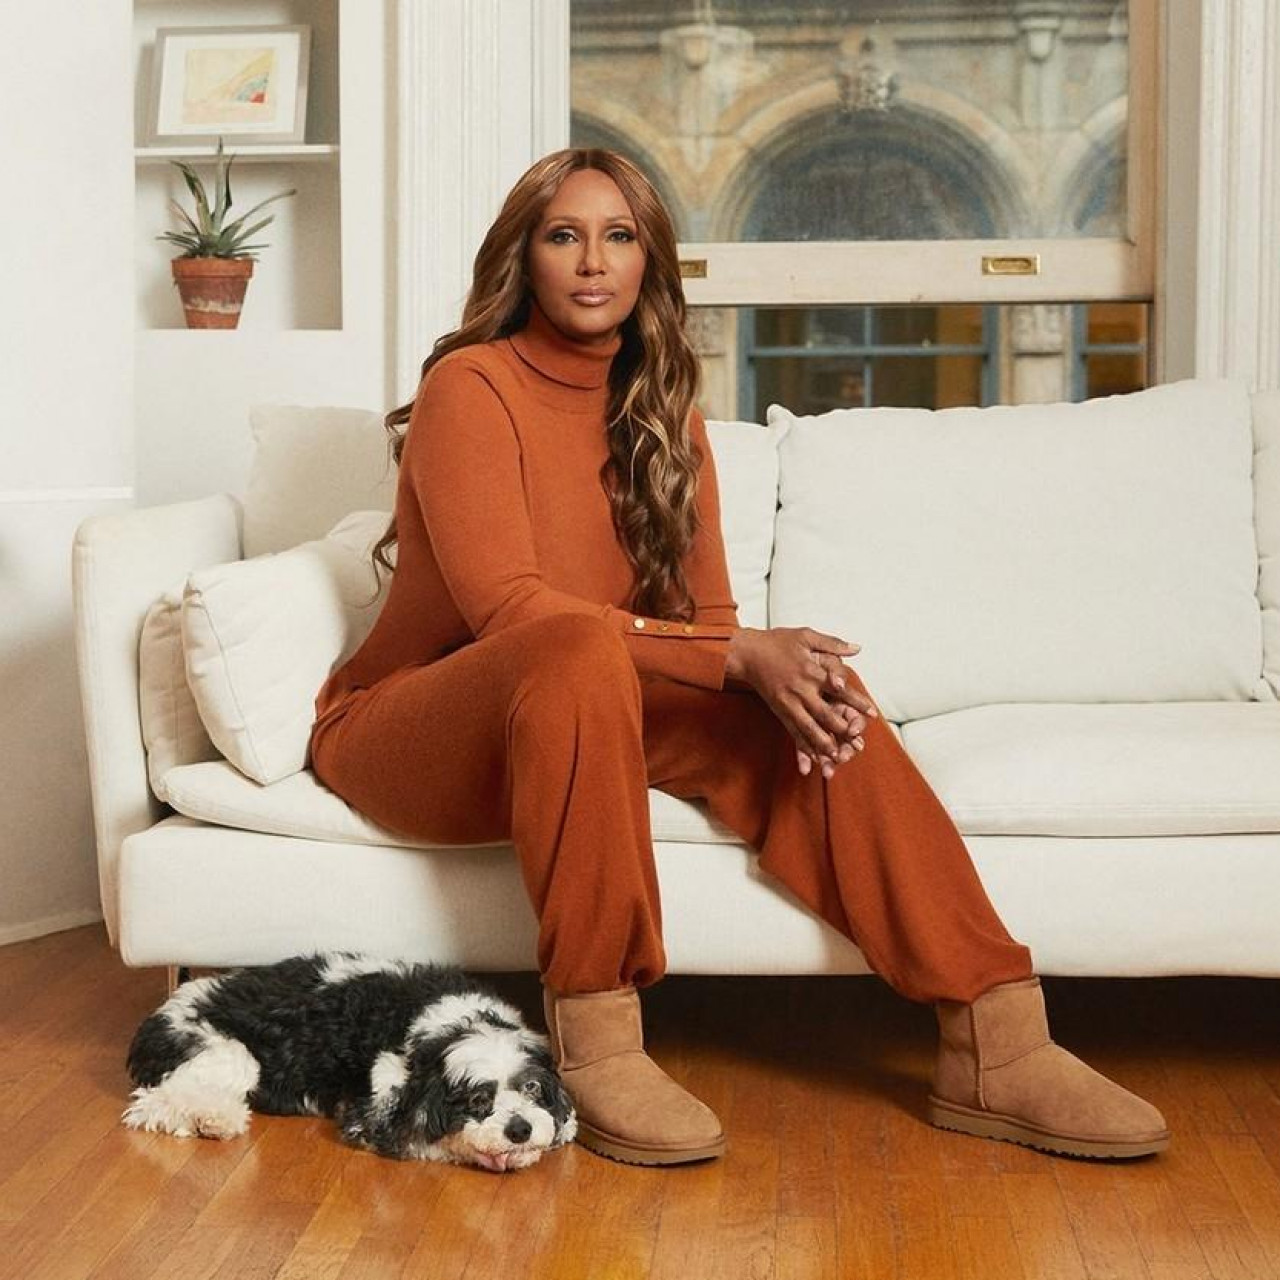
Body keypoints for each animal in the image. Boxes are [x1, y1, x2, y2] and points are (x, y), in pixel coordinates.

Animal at [123, 953, 577, 1172]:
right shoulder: (374, 1108)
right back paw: (214, 1118)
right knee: (156, 1102)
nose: (520, 1129)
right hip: (227, 1051)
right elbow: (422, 1140)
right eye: (476, 1100)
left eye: (532, 1088)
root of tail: (168, 1007)